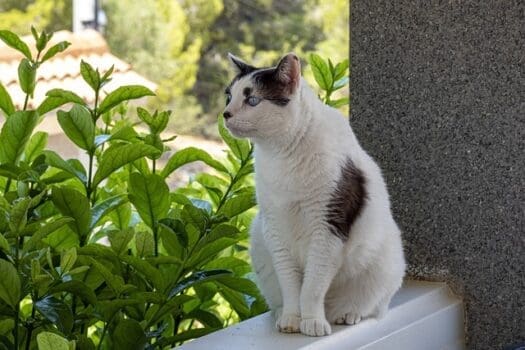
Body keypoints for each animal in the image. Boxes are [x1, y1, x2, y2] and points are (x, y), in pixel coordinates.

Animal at [221, 52, 406, 336]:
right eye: (229, 96)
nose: (225, 114)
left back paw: (346, 314)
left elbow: (312, 286)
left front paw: (313, 323)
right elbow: (290, 285)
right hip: (260, 247)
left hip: (386, 263)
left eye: (252, 100)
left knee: (372, 305)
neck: (282, 154)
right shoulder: (275, 228)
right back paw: (282, 313)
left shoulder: (327, 228)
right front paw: (291, 320)